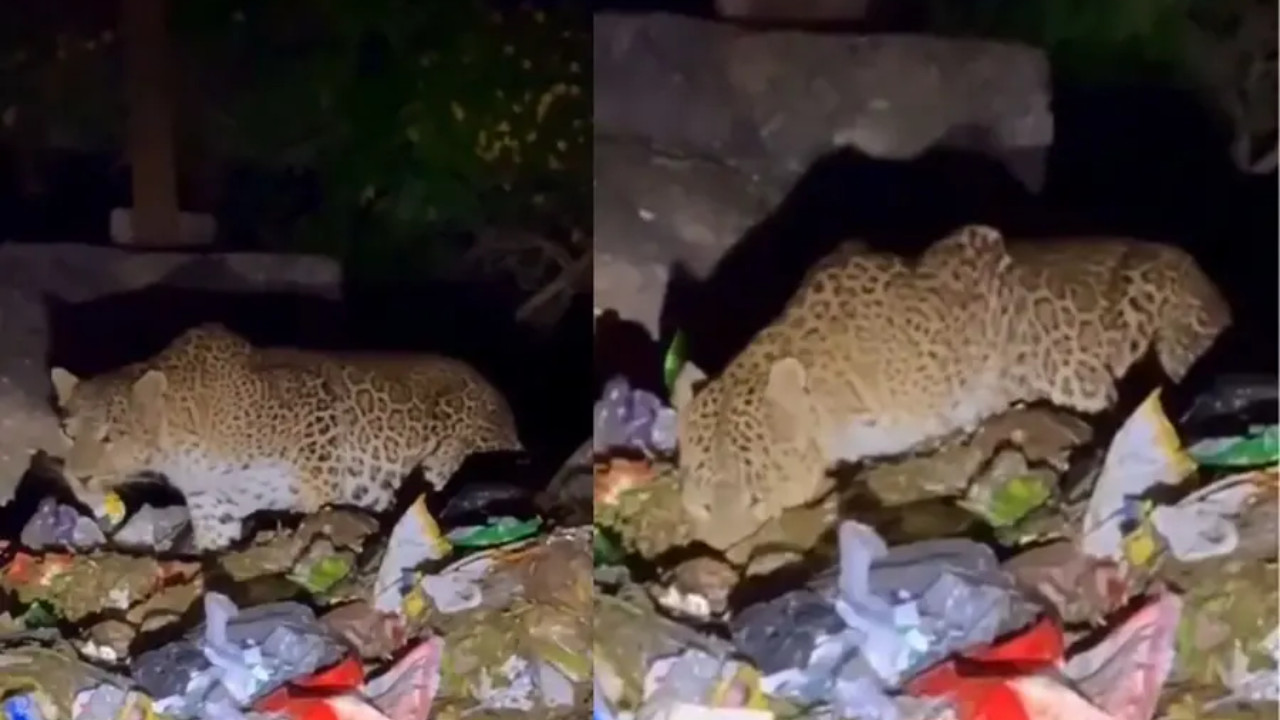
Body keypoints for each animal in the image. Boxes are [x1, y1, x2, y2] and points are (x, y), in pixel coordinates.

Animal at [50, 323, 522, 551]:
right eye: (68, 434)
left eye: (111, 436)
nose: (78, 478)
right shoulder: (213, 508)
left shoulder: (316, 421)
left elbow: (318, 498)